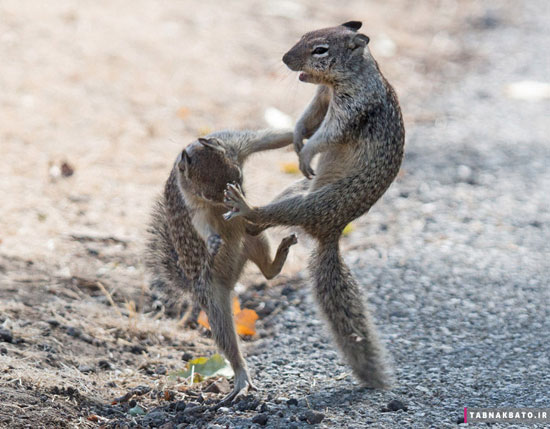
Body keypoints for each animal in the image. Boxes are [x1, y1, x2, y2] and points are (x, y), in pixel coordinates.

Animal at [146, 129, 298, 402]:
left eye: (239, 177)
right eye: (207, 194)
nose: (233, 205)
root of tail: (231, 280)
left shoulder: (235, 143)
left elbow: (271, 138)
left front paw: (302, 131)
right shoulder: (193, 205)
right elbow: (202, 225)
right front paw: (213, 241)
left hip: (253, 238)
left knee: (267, 269)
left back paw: (279, 252)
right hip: (212, 297)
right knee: (228, 340)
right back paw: (241, 378)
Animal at [224, 22, 406, 388]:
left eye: (321, 49)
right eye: (303, 35)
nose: (284, 58)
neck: (344, 80)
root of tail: (331, 232)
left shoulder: (351, 110)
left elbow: (326, 135)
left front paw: (306, 152)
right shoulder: (321, 98)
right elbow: (308, 119)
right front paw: (296, 139)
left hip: (312, 203)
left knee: (278, 214)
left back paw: (247, 209)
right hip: (296, 188)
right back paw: (250, 225)